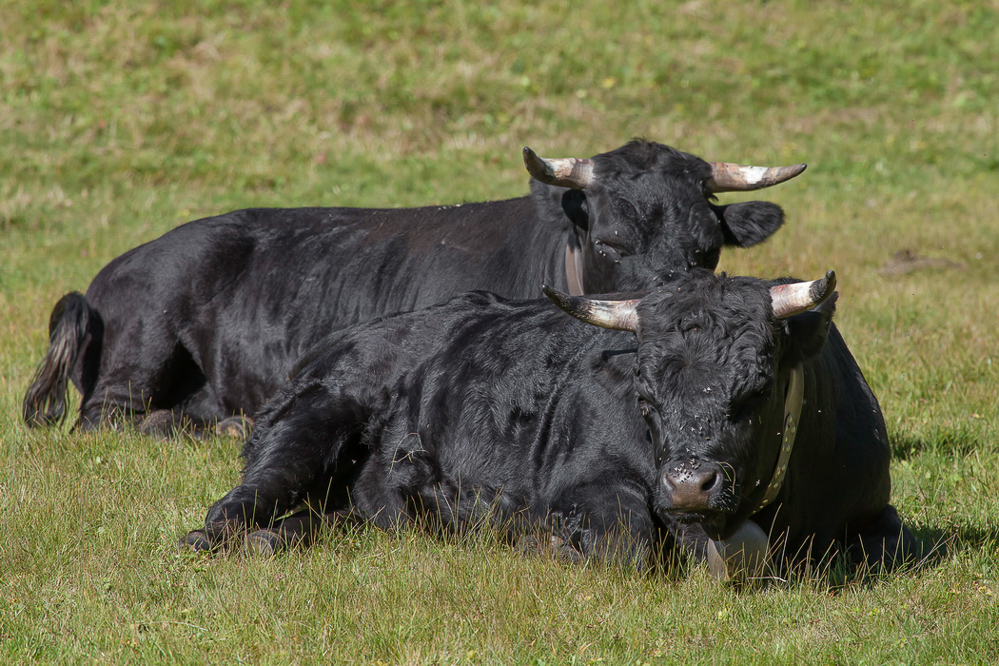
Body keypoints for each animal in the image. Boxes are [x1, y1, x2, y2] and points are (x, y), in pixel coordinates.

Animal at [184, 268, 916, 580]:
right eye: (643, 397)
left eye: (758, 389)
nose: (686, 485)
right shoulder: (589, 484)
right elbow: (625, 547)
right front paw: (546, 544)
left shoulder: (877, 514)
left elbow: (882, 547)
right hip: (304, 426)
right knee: (231, 510)